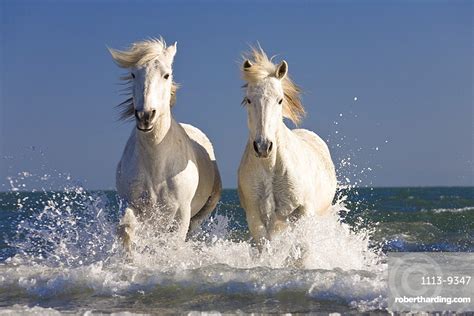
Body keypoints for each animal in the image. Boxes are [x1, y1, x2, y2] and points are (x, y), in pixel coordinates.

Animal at [109, 37, 222, 249]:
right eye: (133, 74)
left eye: (166, 75)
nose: (145, 116)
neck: (156, 163)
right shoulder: (135, 205)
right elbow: (126, 230)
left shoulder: (181, 213)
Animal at [237, 47, 336, 249]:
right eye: (248, 100)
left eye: (280, 100)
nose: (263, 146)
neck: (271, 167)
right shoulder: (255, 216)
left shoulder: (304, 211)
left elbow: (303, 248)